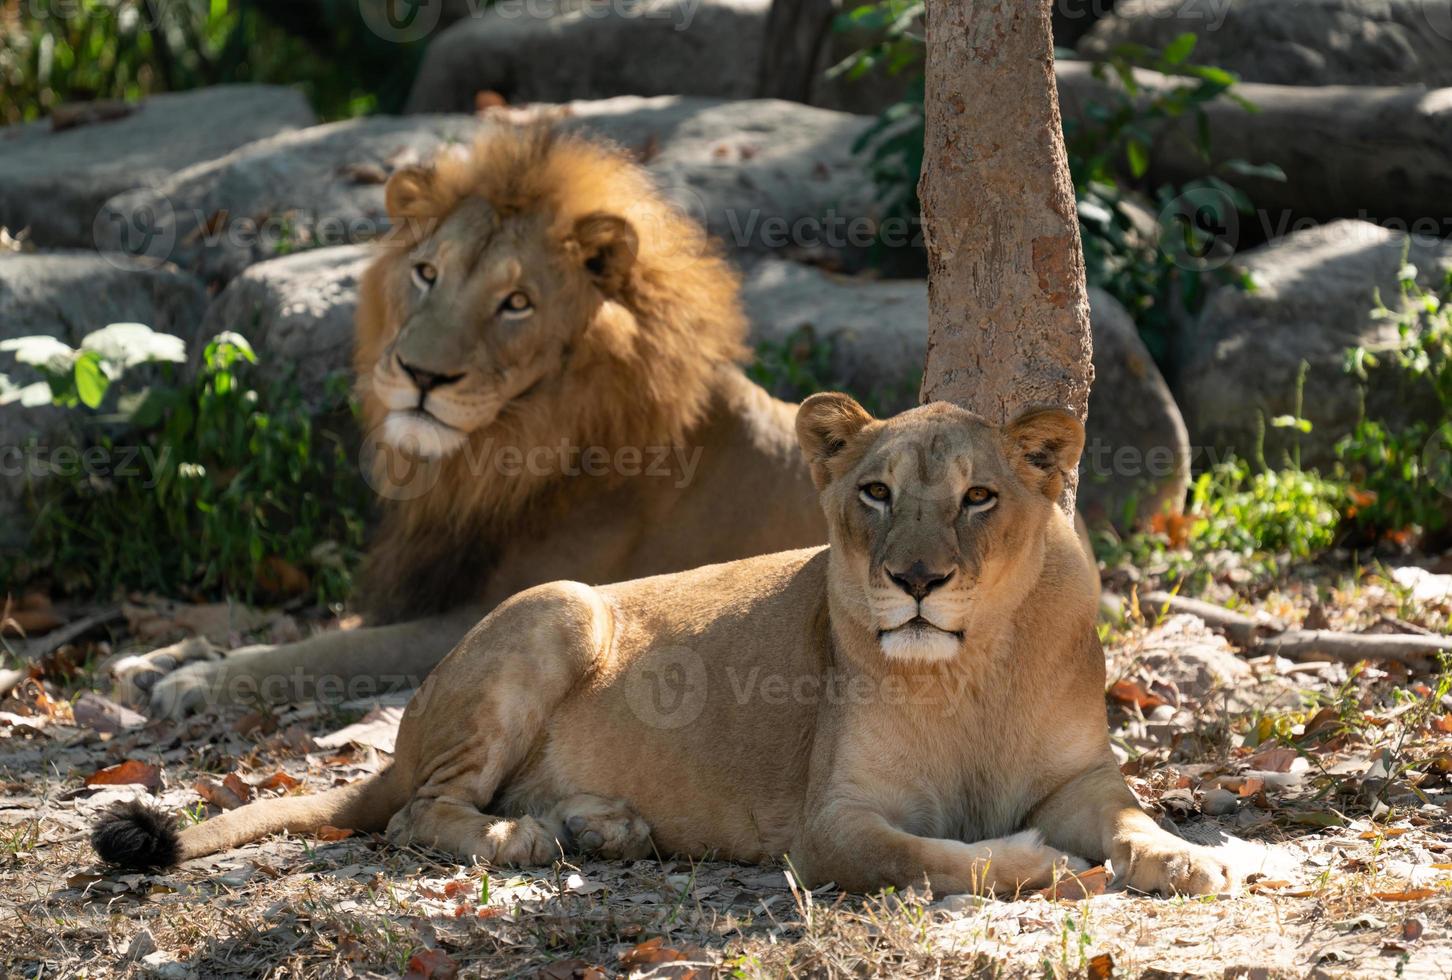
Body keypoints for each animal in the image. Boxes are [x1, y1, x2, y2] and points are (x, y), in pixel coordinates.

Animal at [99, 392, 1237, 894]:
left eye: (978, 498)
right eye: (875, 492)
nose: (916, 580)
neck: (973, 668)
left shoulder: (1083, 778)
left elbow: (1134, 821)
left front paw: (1202, 858)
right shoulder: (830, 827)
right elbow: (941, 855)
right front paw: (1035, 859)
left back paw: (602, 825)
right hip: (560, 604)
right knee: (418, 813)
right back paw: (534, 838)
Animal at [113, 126, 830, 717]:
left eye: (516, 303)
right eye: (426, 272)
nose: (421, 374)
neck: (511, 449)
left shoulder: (500, 610)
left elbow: (329, 651)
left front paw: (198, 680)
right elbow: (309, 632)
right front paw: (166, 657)